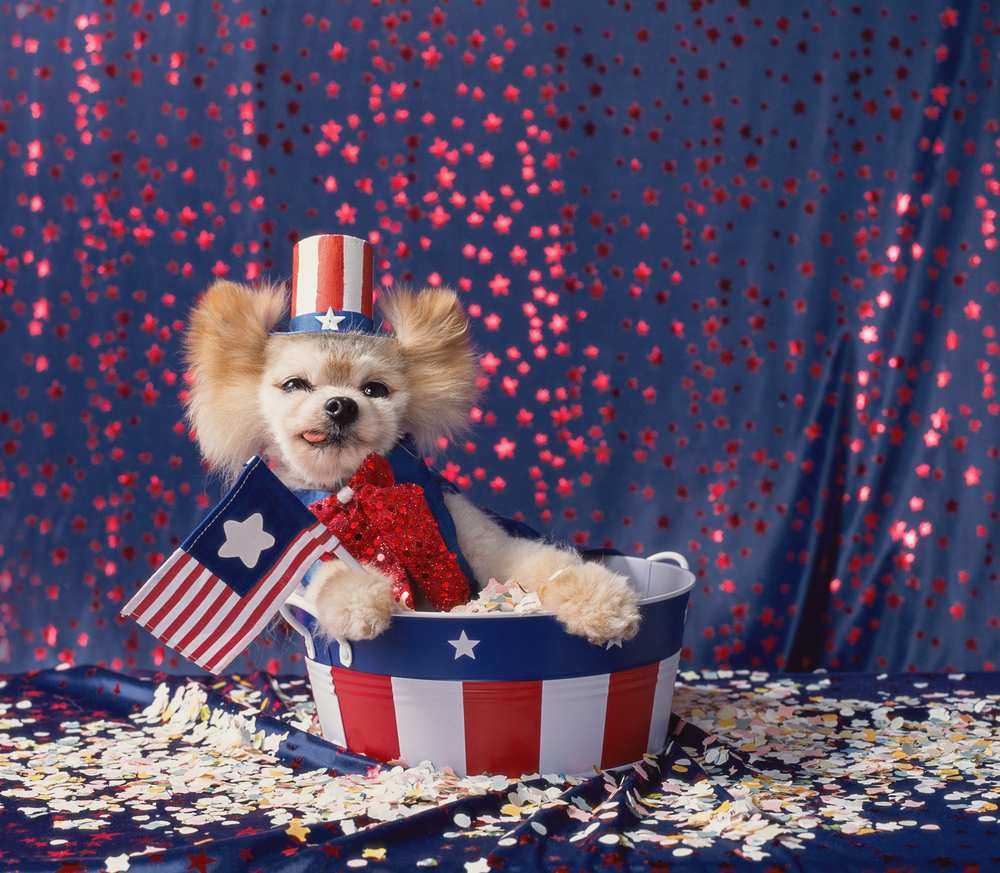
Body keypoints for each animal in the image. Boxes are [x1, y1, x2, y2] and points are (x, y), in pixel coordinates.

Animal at [184, 282, 640, 644]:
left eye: (374, 389)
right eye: (295, 385)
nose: (341, 405)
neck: (356, 489)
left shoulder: (482, 539)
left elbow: (545, 564)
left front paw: (601, 599)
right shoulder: (309, 542)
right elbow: (333, 574)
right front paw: (361, 600)